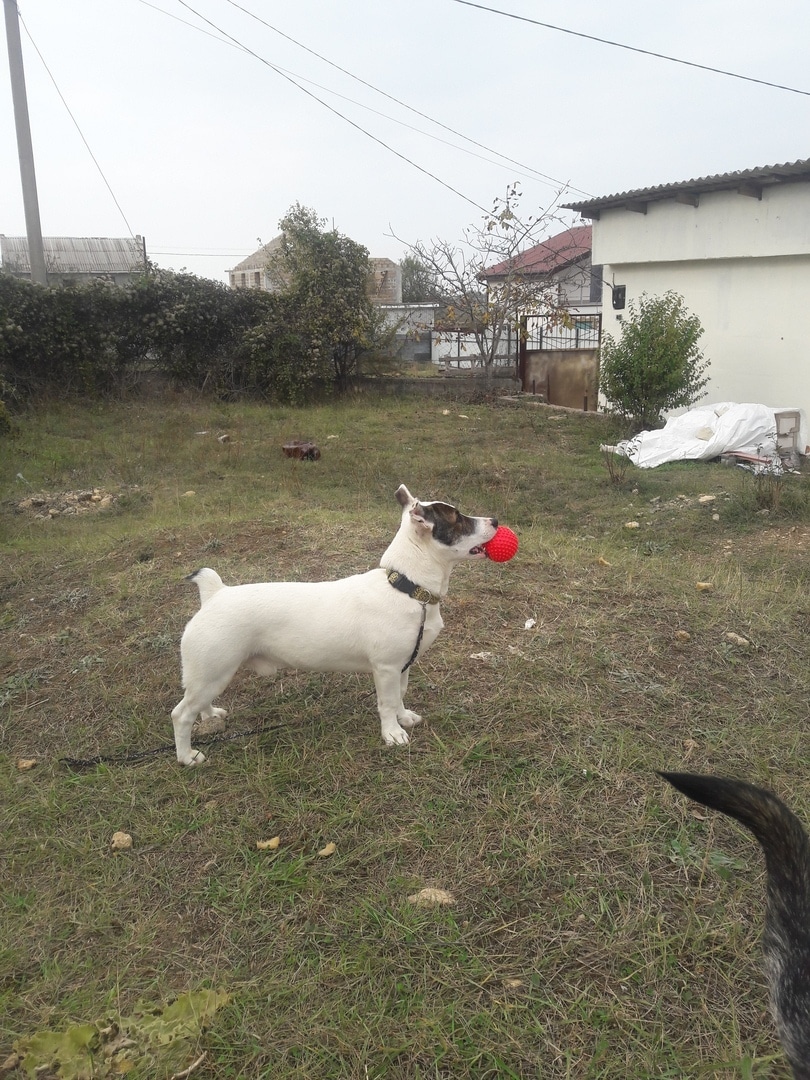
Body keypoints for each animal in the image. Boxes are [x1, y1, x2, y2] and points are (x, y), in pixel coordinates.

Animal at [170, 486, 498, 764]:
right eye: (458, 519)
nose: (495, 519)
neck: (406, 587)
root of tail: (214, 594)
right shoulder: (386, 669)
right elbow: (387, 703)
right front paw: (392, 733)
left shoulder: (403, 665)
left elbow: (400, 696)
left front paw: (404, 717)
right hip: (215, 669)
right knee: (181, 714)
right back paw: (187, 756)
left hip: (212, 674)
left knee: (199, 703)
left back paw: (210, 716)